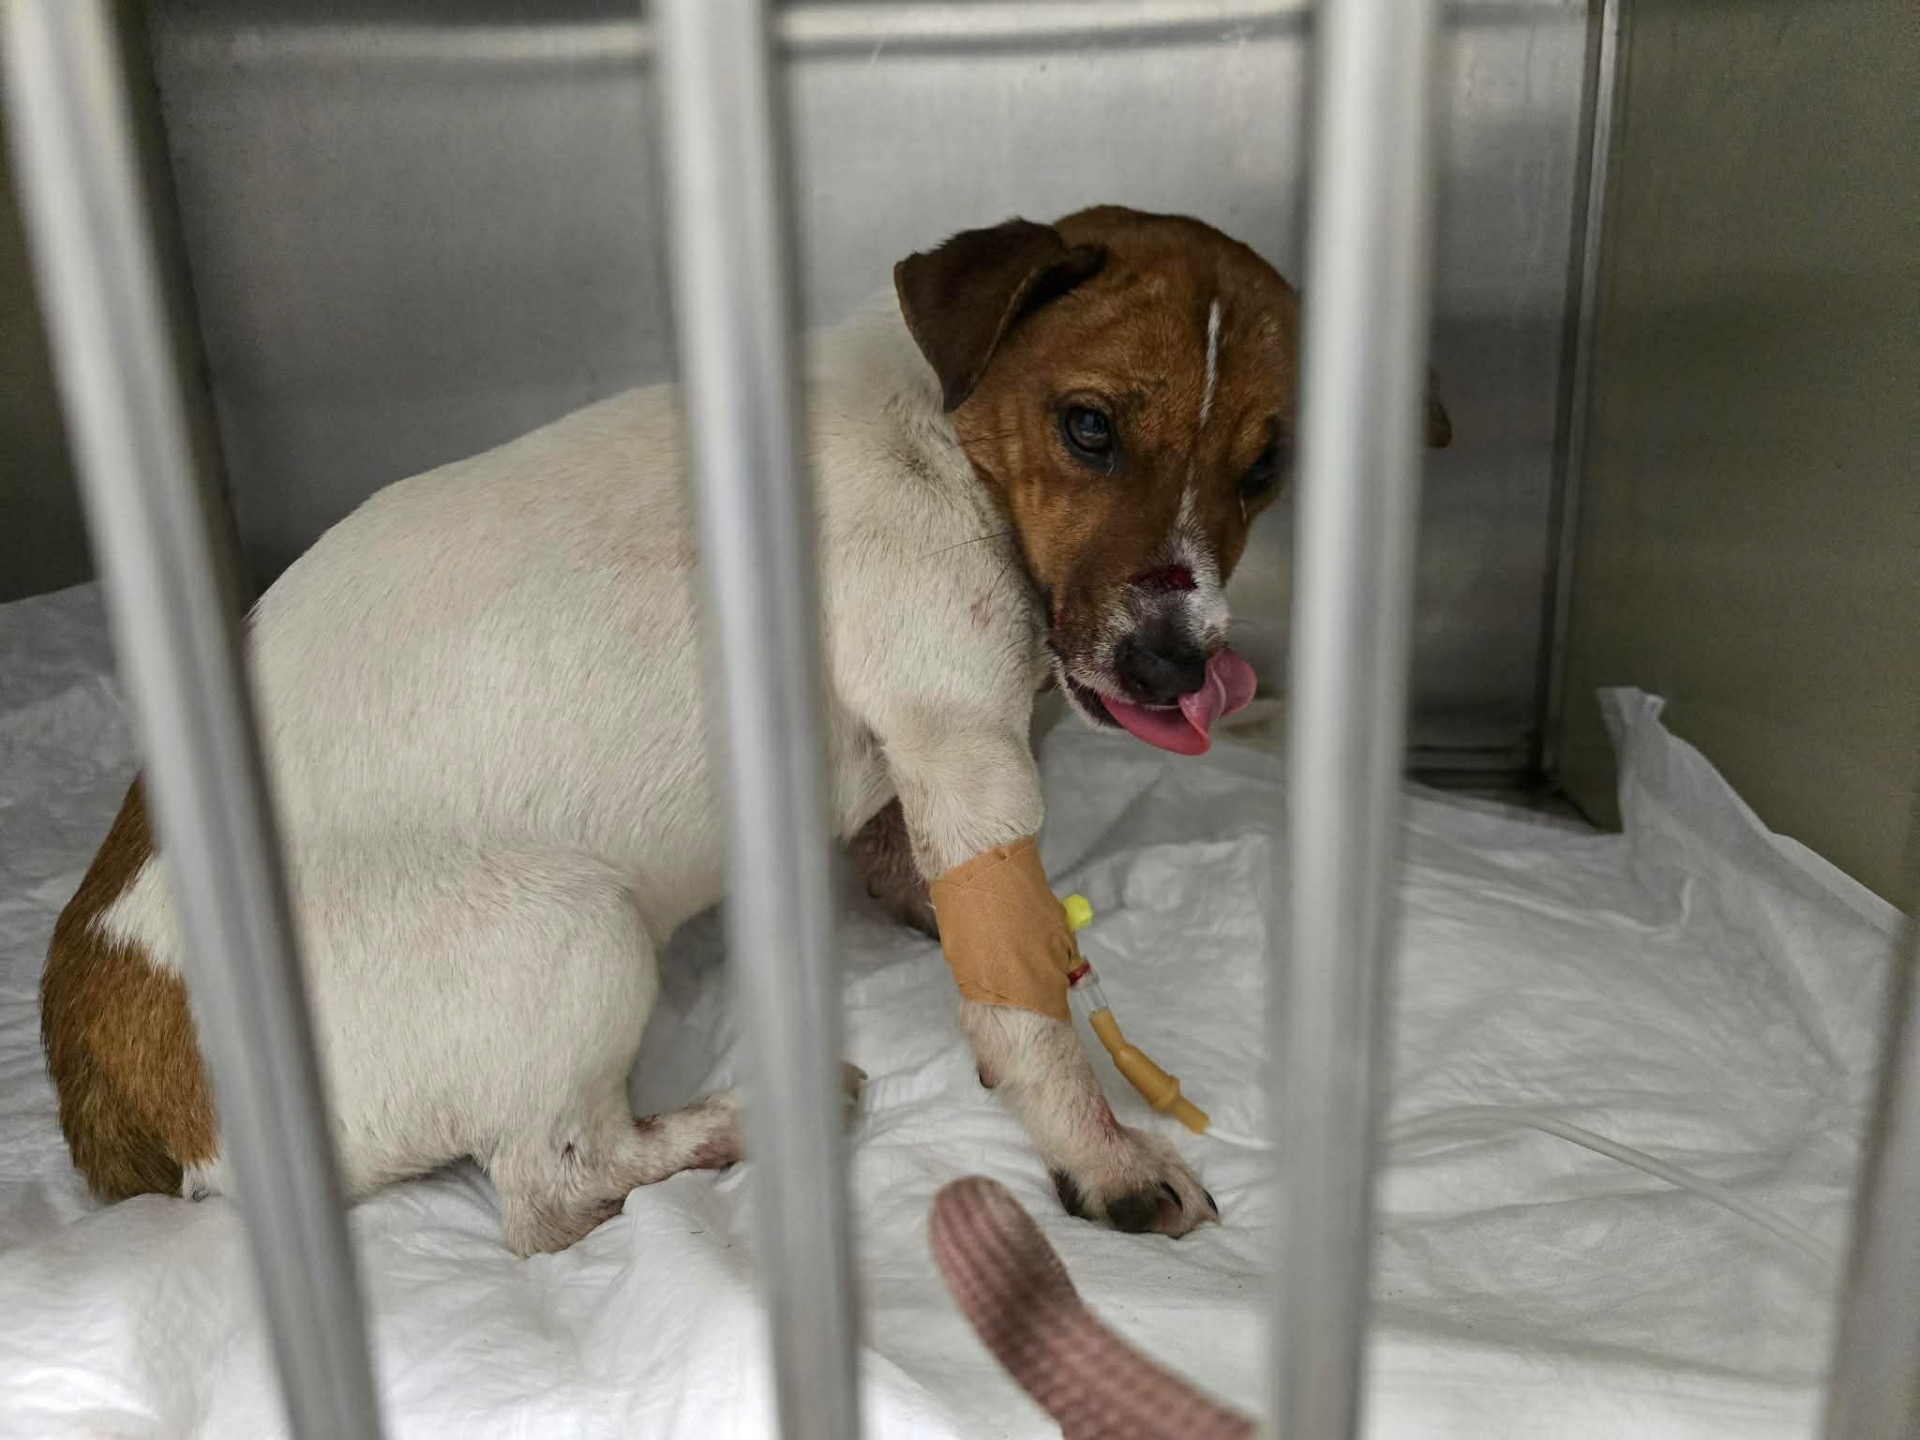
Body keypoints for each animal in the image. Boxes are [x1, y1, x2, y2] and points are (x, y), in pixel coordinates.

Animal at [42, 206, 1450, 1254]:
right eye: (1090, 425)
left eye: (1267, 468)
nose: (1175, 668)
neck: (951, 436)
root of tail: (106, 1078)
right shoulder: (965, 743)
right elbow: (1024, 1022)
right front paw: (1099, 1154)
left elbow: (949, 895)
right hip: (577, 928)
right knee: (552, 1192)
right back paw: (749, 1116)